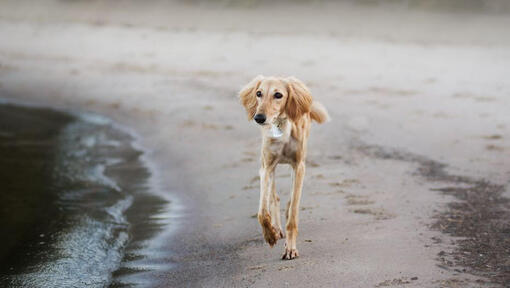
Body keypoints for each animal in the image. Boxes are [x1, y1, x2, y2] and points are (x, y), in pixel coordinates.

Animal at [240, 75, 330, 260]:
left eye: (278, 95)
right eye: (259, 93)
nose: (259, 118)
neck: (281, 126)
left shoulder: (299, 166)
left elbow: (293, 213)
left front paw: (290, 248)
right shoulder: (266, 167)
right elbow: (262, 212)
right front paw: (270, 235)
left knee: (288, 202)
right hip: (270, 167)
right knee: (274, 197)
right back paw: (276, 228)